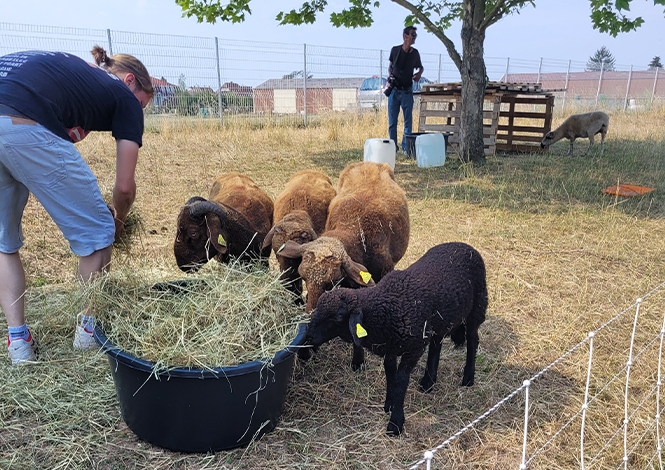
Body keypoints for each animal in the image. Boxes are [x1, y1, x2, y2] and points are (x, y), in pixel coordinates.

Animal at [278, 162, 408, 370]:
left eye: (330, 284)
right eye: (304, 279)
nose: (305, 347)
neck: (355, 231)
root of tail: (371, 163)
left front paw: (358, 363)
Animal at [304, 242, 486, 436]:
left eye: (338, 316)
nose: (308, 336)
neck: (385, 308)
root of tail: (463, 245)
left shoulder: (413, 349)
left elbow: (400, 381)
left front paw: (395, 423)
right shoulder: (390, 346)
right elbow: (390, 374)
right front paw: (389, 405)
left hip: (477, 308)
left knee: (473, 341)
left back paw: (468, 378)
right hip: (438, 322)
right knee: (436, 344)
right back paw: (428, 382)